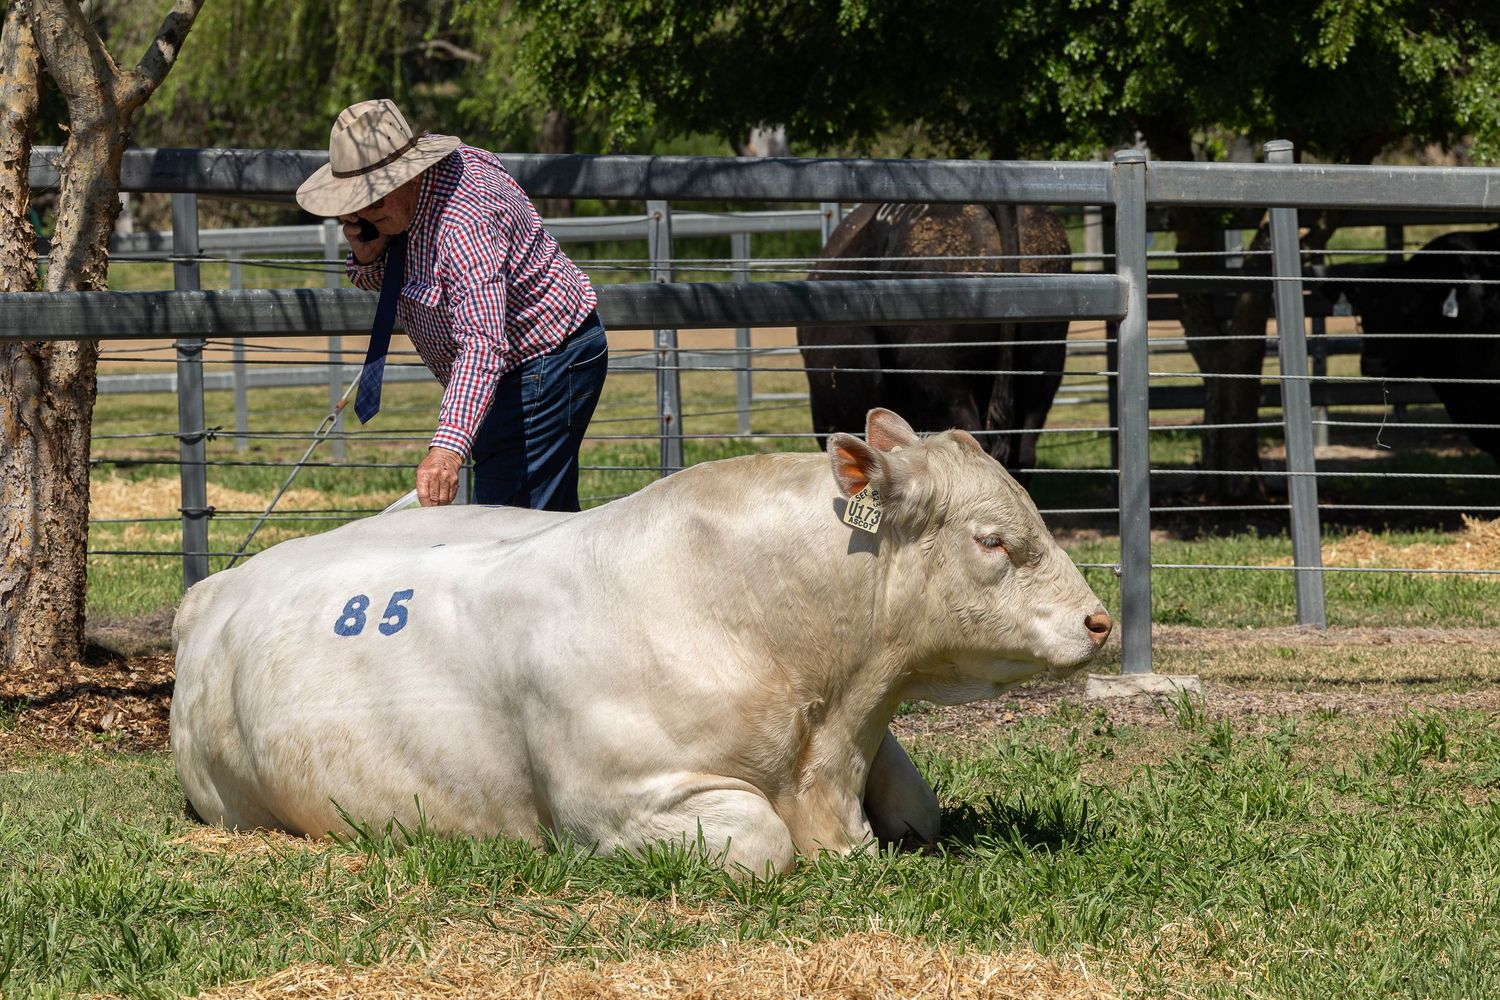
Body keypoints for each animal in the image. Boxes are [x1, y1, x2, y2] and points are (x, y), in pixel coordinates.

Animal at [170, 409, 1111, 876]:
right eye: (993, 540)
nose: (1099, 622)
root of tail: (216, 588)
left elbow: (916, 809)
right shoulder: (624, 801)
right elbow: (760, 843)